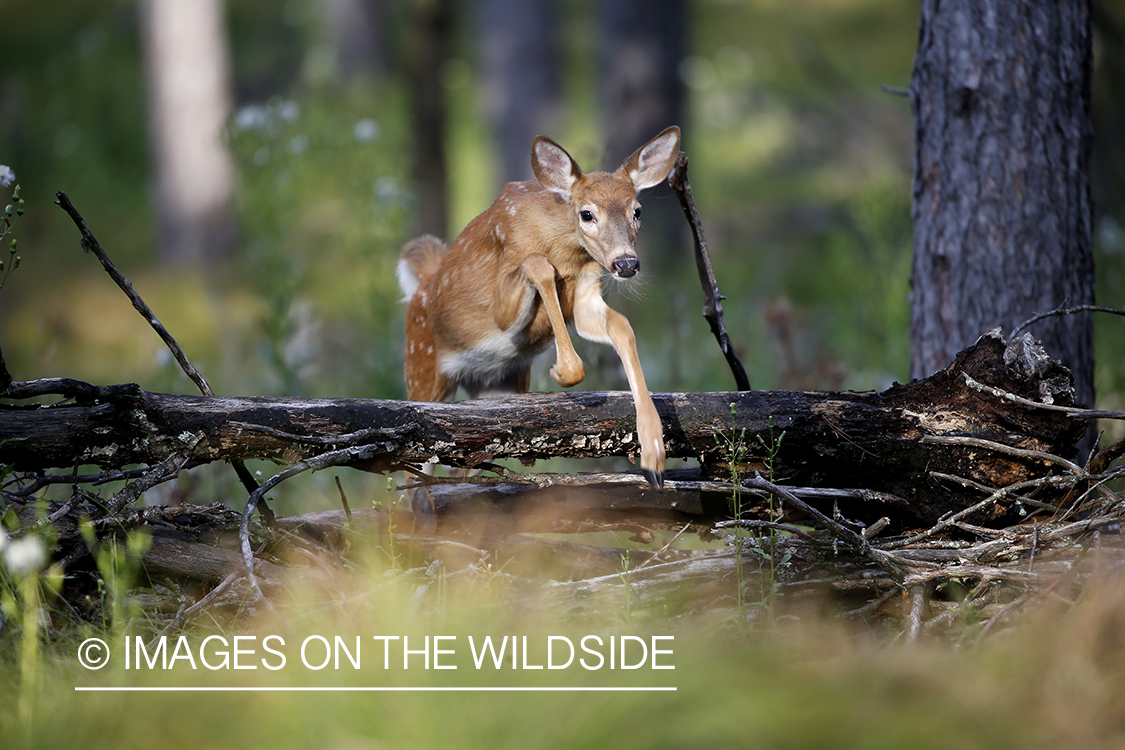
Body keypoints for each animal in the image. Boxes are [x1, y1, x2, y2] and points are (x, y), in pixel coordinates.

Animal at [397, 126, 681, 489]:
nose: (626, 263)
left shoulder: (587, 290)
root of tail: (422, 284)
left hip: (496, 390)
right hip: (421, 372)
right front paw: (563, 370)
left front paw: (653, 456)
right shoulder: (503, 300)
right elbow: (538, 264)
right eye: (587, 213)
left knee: (462, 465)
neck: (565, 249)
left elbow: (622, 326)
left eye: (637, 211)